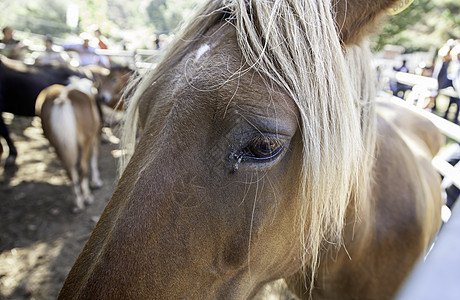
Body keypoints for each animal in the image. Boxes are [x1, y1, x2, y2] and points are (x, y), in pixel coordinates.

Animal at [35, 77, 102, 213]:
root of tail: (63, 99)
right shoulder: (93, 138)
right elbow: (94, 159)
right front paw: (96, 182)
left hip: (56, 144)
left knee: (69, 170)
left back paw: (77, 202)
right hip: (84, 142)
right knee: (82, 167)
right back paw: (87, 197)